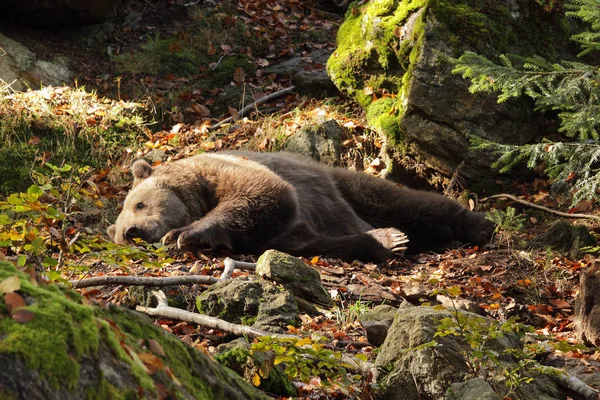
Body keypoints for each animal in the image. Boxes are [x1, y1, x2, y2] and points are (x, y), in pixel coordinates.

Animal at [106, 151, 492, 262]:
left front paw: (182, 233)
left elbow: (264, 192)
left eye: (139, 203)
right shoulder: (281, 235)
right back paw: (391, 239)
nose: (134, 231)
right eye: (121, 234)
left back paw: (479, 225)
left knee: (405, 201)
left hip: (343, 184)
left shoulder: (224, 171)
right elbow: (308, 240)